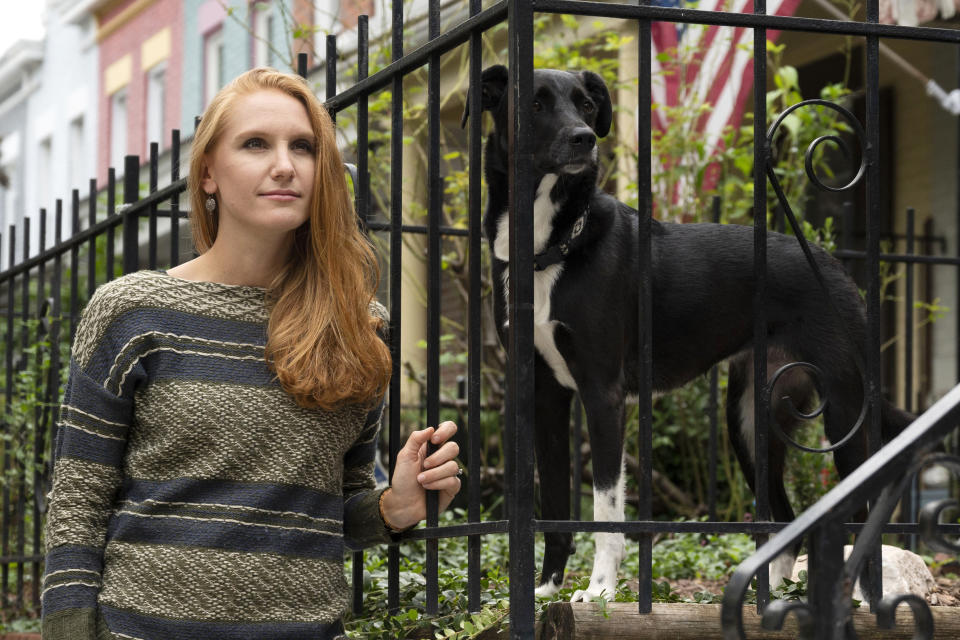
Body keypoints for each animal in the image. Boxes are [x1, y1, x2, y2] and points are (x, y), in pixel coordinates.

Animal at [468, 66, 920, 604]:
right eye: (535, 103)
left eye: (585, 105)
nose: (584, 139)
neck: (550, 246)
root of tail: (834, 266)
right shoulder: (546, 396)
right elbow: (556, 506)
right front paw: (547, 589)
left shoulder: (603, 394)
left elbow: (606, 509)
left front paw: (599, 591)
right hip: (750, 420)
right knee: (787, 520)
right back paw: (768, 597)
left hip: (846, 410)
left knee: (861, 511)